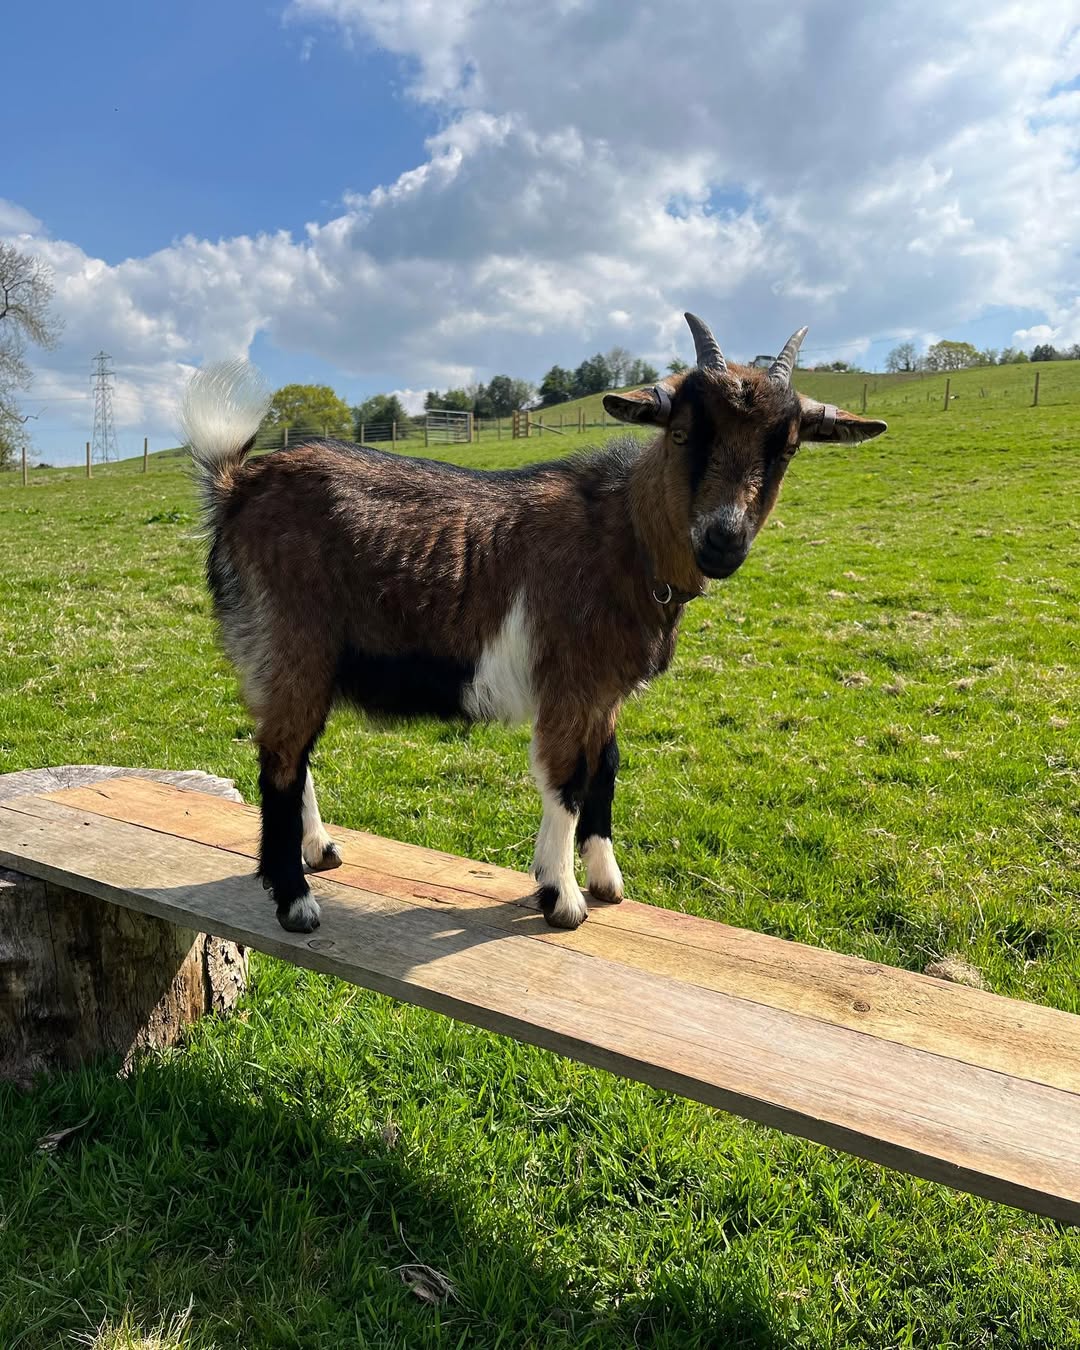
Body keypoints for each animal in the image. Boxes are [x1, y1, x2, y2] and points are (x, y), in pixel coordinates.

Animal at [181, 313, 886, 935]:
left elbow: (605, 770)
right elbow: (565, 780)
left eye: (787, 447)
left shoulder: (606, 694)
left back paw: (320, 850)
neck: (625, 538)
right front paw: (560, 896)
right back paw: (295, 900)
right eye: (683, 433)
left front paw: (606, 881)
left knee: (292, 753)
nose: (723, 541)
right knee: (279, 760)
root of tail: (238, 484)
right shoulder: (569, 685)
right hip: (290, 641)